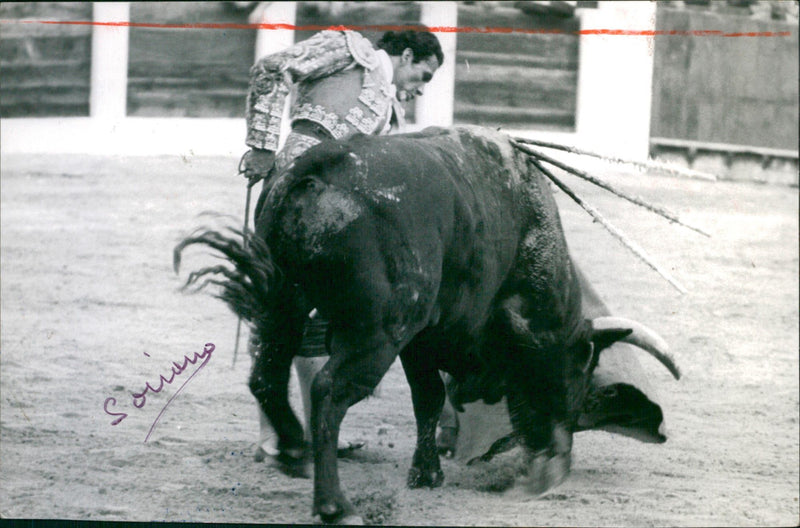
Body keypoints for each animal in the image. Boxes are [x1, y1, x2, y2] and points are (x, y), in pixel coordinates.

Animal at [173, 125, 676, 524]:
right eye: (580, 371)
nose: (554, 463)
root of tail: (319, 168)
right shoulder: (435, 337)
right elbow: (438, 397)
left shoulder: (422, 340)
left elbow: (429, 399)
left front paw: (425, 472)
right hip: (377, 332)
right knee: (329, 392)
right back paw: (336, 504)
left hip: (282, 305)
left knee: (266, 375)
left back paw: (295, 450)